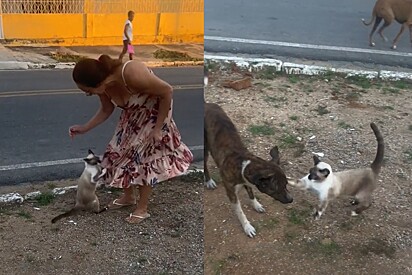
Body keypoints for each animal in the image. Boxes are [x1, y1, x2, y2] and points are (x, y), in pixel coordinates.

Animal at [204, 102, 292, 238]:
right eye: (277, 188)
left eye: (286, 184)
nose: (291, 199)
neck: (243, 163)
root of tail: (206, 103)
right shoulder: (231, 193)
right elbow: (240, 212)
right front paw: (247, 226)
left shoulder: (248, 181)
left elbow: (251, 193)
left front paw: (256, 205)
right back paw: (209, 181)